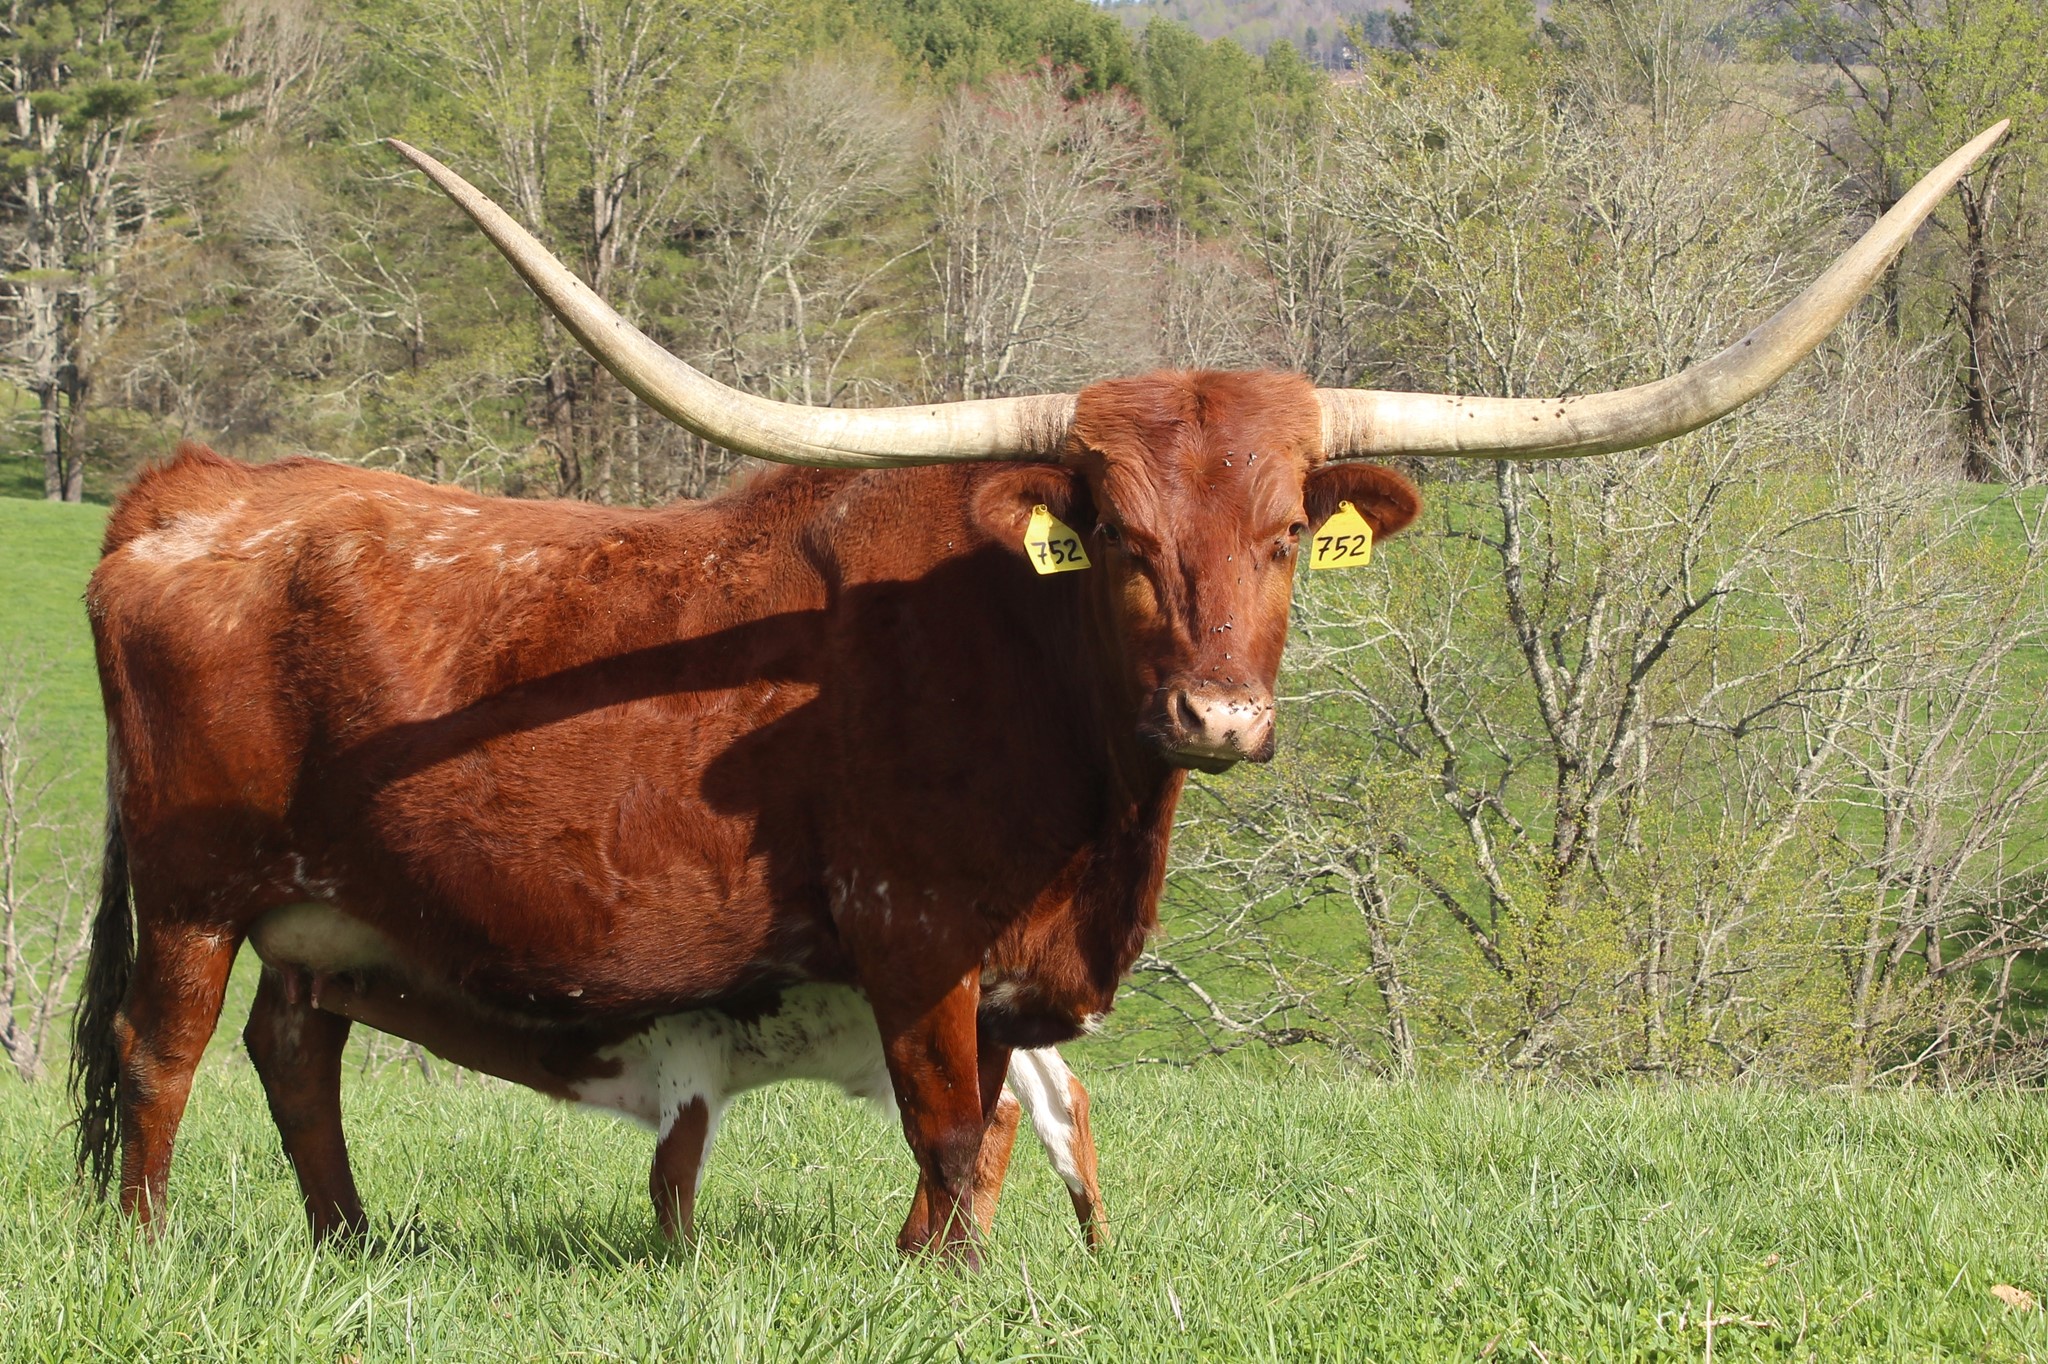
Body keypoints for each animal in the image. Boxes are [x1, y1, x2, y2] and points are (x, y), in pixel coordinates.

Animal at [69, 123, 2005, 1264]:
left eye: (1288, 538)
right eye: (1121, 538)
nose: (1218, 721)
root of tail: (202, 485)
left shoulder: (1011, 980)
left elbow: (987, 1146)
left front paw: (951, 1278)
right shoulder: (915, 942)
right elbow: (948, 1136)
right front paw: (946, 1287)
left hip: (329, 908)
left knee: (296, 1051)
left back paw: (348, 1242)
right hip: (196, 884)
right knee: (163, 1054)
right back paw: (152, 1248)